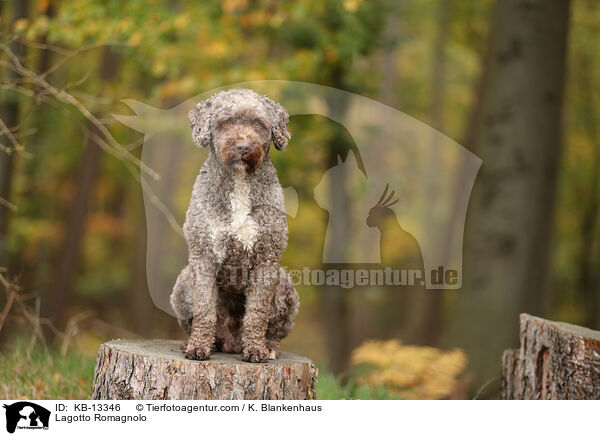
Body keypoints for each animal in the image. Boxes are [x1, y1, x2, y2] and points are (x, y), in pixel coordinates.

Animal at [170, 87, 298, 362]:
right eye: (226, 122)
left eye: (259, 124)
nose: (243, 146)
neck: (239, 183)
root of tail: (230, 342)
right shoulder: (203, 255)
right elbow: (204, 308)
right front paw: (198, 347)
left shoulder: (266, 259)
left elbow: (257, 313)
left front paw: (256, 350)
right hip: (182, 283)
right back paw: (198, 343)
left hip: (286, 285)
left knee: (275, 329)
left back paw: (269, 346)